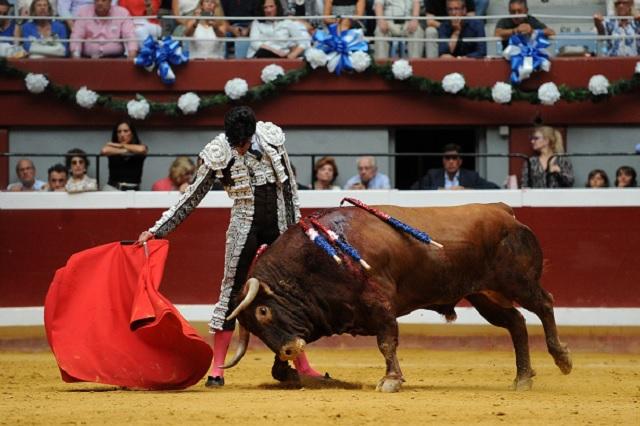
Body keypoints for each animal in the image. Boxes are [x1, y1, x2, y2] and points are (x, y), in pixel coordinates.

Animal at [224, 203, 568, 392]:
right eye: (253, 328)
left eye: (264, 312)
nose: (288, 349)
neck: (318, 257)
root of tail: (504, 212)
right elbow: (278, 369)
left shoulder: (380, 304)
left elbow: (387, 342)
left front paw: (390, 380)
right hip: (484, 296)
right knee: (516, 323)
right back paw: (523, 378)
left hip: (516, 282)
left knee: (544, 303)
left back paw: (562, 358)